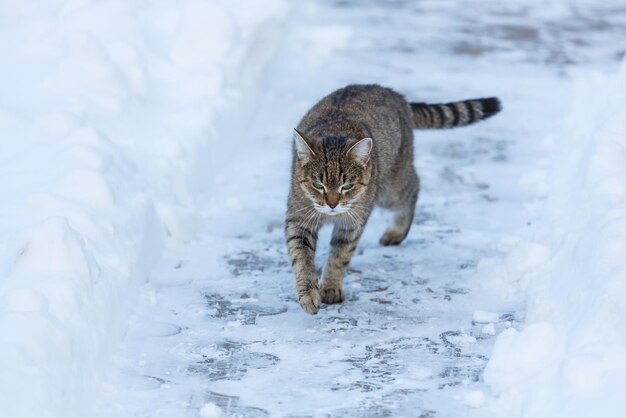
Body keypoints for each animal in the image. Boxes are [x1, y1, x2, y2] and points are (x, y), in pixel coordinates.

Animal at [286, 84, 500, 314]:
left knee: (414, 188)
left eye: (347, 186)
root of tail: (394, 94)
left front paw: (330, 287)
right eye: (318, 185)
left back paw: (397, 232)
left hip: (391, 190)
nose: (332, 204)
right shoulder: (298, 219)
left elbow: (339, 256)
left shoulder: (353, 223)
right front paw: (308, 293)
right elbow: (301, 258)